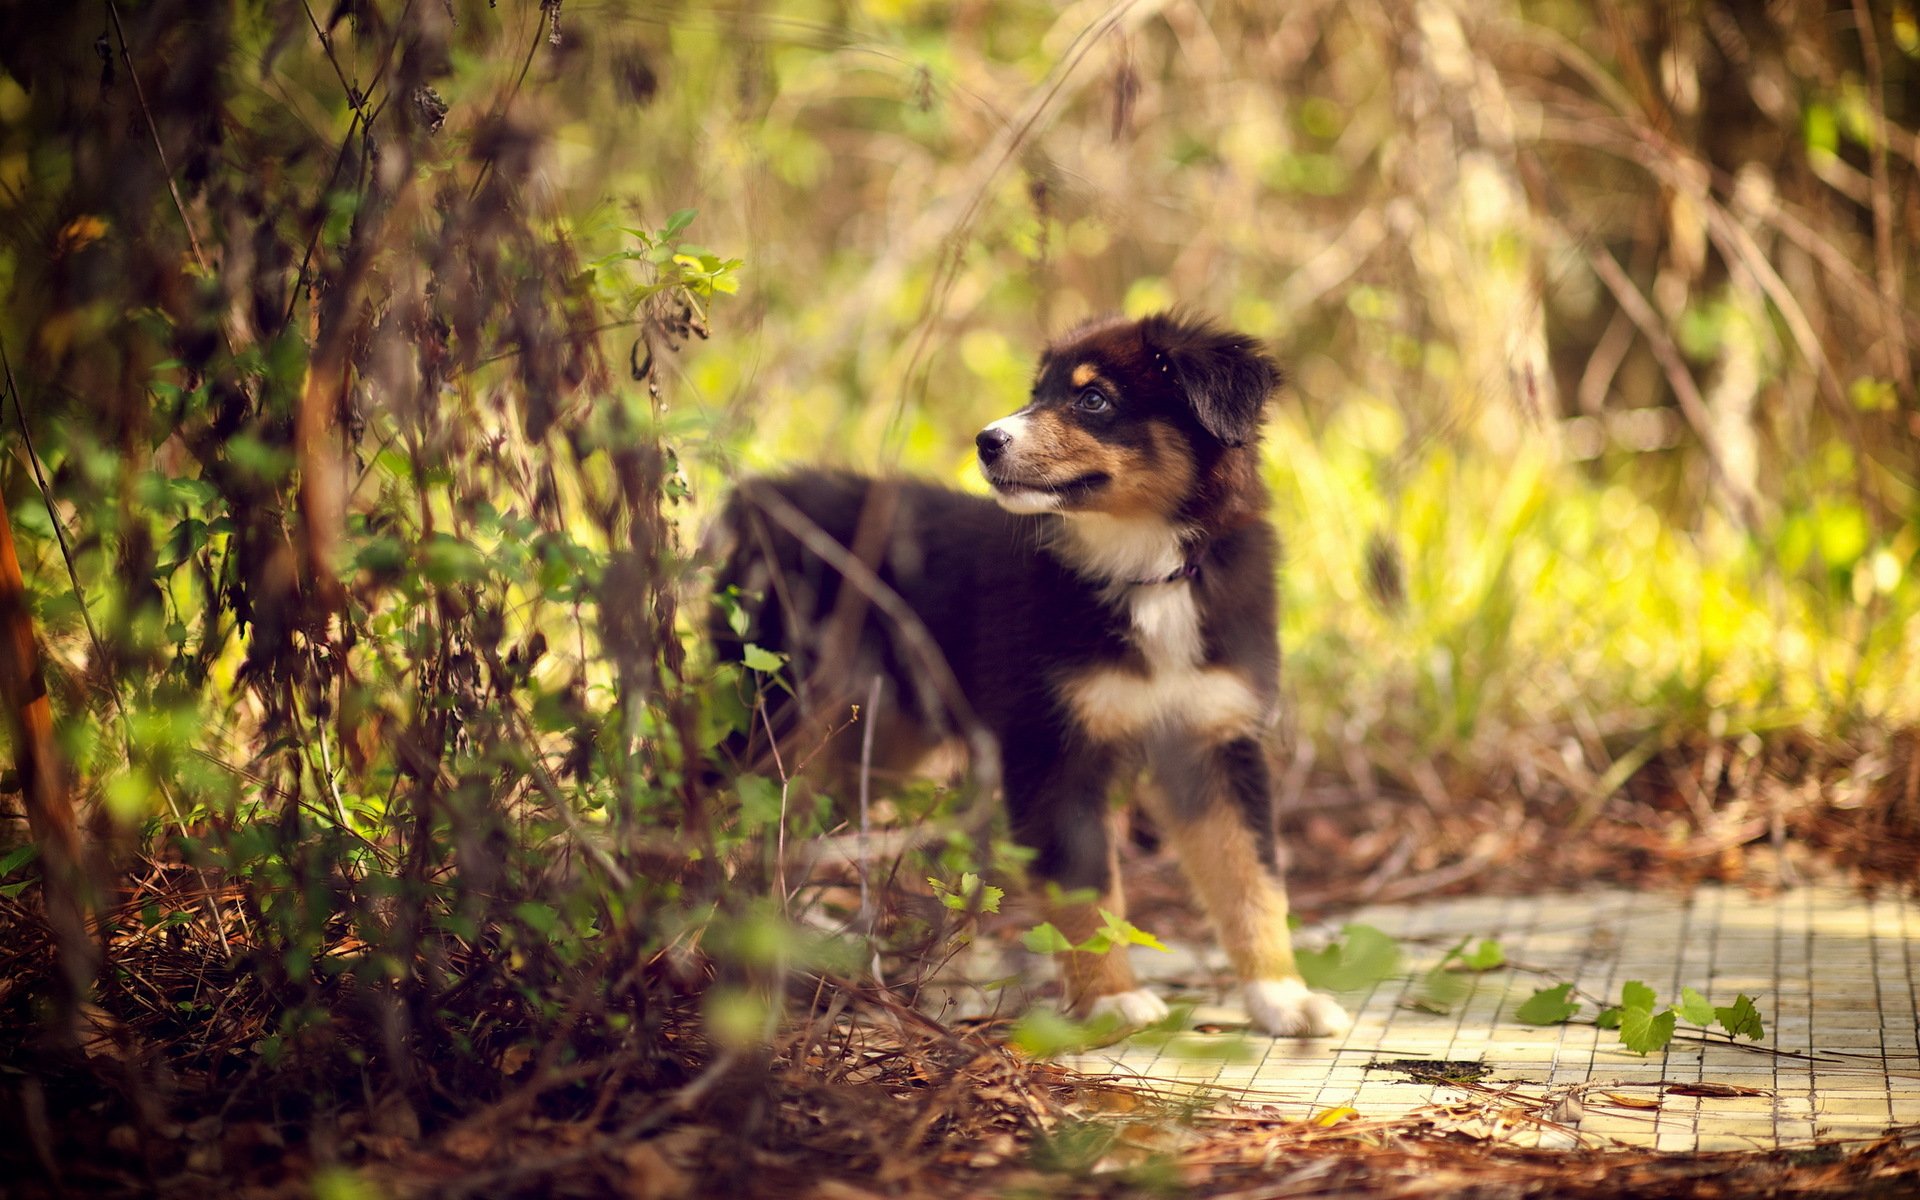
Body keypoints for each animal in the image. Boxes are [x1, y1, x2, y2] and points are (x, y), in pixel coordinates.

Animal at [718, 312, 1351, 1036]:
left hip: (879, 740)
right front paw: (1111, 998)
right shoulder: (1052, 745)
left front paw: (1282, 994)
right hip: (774, 708)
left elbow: (1251, 878)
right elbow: (1086, 884)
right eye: (1038, 391)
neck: (1148, 569)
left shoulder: (1214, 739)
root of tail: (765, 496)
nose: (986, 440)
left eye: (1093, 399)